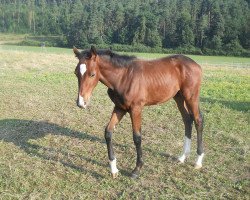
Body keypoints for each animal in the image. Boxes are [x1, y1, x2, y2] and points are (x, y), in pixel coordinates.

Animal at [73, 45, 204, 178]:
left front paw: (137, 169)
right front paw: (114, 169)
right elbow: (108, 132)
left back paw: (198, 161)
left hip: (191, 97)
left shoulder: (136, 108)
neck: (123, 78)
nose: (81, 102)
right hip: (178, 97)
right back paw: (182, 157)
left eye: (92, 74)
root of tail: (195, 64)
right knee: (187, 120)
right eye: (76, 73)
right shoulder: (119, 108)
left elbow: (137, 137)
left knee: (198, 120)